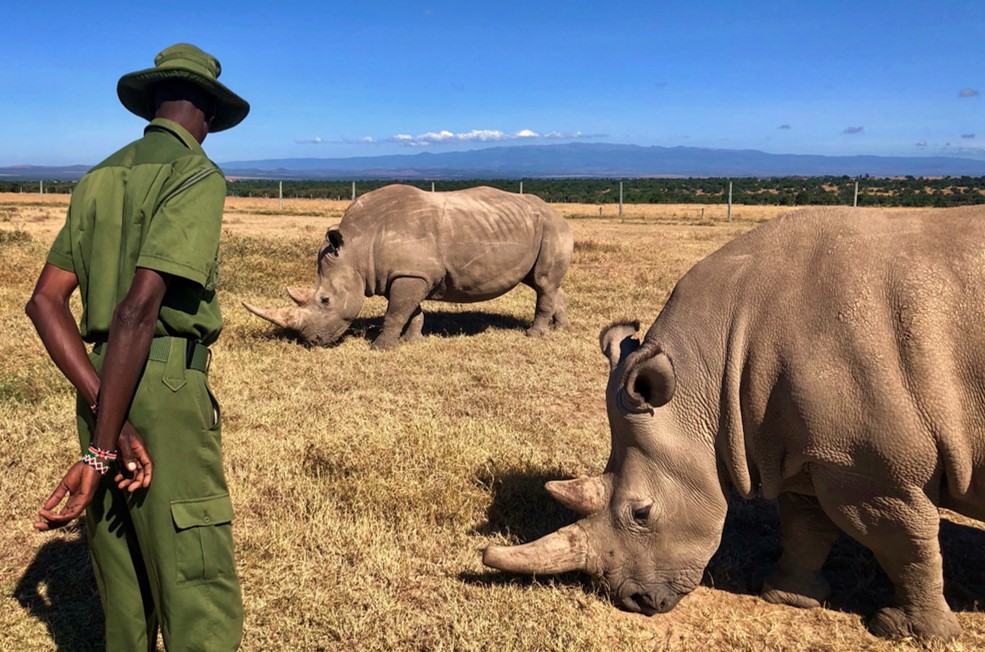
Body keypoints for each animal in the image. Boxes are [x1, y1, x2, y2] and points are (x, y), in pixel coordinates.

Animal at [241, 183, 572, 348]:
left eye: (324, 300)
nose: (313, 342)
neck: (357, 247)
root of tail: (558, 213)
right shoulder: (407, 274)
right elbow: (411, 311)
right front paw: (412, 342)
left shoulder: (410, 274)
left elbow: (396, 312)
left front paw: (381, 347)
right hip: (535, 228)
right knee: (545, 284)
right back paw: (560, 330)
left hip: (552, 228)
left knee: (543, 283)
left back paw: (534, 336)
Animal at [480, 206, 984, 640]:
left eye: (641, 514)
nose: (635, 601)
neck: (711, 374)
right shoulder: (815, 451)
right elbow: (805, 526)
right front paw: (784, 596)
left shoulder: (874, 471)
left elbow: (904, 542)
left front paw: (909, 632)